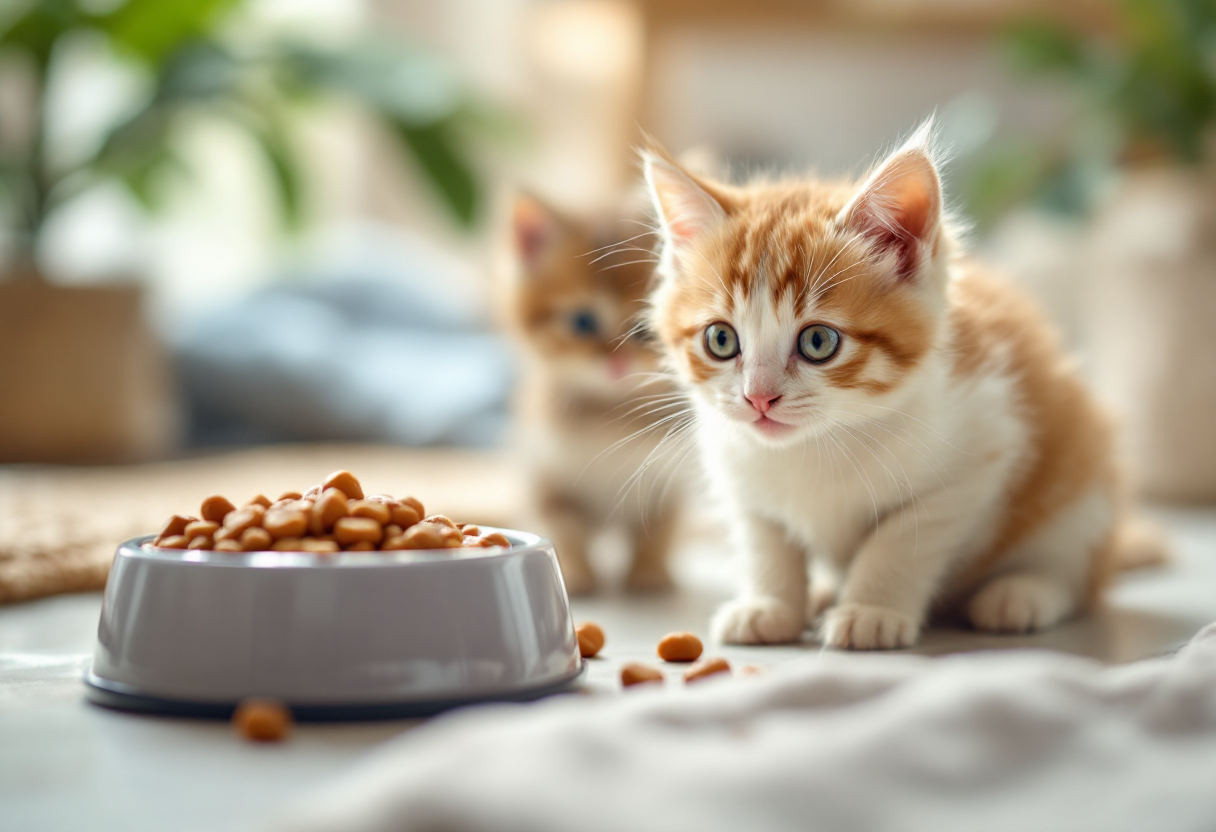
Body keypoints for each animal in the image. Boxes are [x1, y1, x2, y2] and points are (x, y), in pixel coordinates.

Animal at [503, 193, 685, 598]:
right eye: (582, 322)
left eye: (645, 328)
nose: (616, 362)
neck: (611, 415)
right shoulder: (548, 479)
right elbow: (566, 530)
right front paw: (576, 574)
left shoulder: (666, 482)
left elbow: (656, 531)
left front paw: (648, 572)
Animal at [637, 123, 1157, 647]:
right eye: (721, 339)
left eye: (819, 341)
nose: (758, 397)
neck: (816, 446)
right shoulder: (740, 477)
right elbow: (765, 542)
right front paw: (770, 605)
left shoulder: (979, 452)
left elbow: (899, 540)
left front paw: (870, 610)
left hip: (1084, 488)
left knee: (1078, 571)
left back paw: (1022, 592)